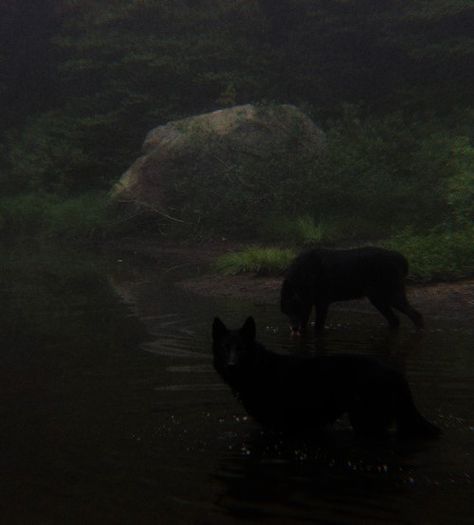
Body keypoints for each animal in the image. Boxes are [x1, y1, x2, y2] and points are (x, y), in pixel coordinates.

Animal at [213, 316, 438, 438]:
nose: (231, 366)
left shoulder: (279, 426)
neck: (259, 368)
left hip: (366, 420)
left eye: (241, 349)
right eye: (225, 348)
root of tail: (396, 374)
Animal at [280, 246, 424, 332]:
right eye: (285, 312)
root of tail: (403, 261)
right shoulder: (309, 302)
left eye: (293, 309)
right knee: (395, 320)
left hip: (390, 293)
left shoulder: (322, 301)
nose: (293, 328)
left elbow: (318, 326)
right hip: (377, 298)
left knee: (416, 315)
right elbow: (305, 325)